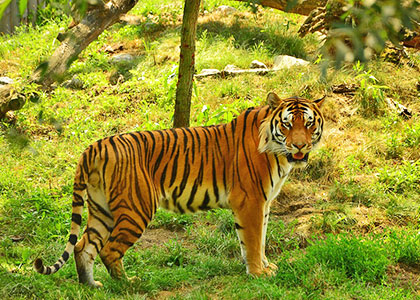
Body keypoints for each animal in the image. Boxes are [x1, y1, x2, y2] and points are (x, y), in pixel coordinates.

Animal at [34, 92, 326, 288]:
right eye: (287, 124)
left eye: (309, 123)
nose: (300, 146)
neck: (278, 153)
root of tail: (94, 146)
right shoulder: (250, 201)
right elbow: (253, 241)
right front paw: (257, 273)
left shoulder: (264, 203)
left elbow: (261, 239)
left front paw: (265, 266)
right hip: (136, 209)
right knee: (108, 250)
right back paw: (128, 284)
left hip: (101, 209)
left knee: (83, 246)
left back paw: (91, 285)